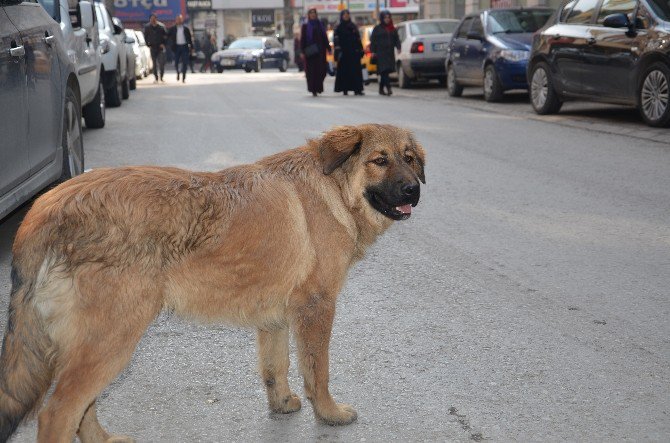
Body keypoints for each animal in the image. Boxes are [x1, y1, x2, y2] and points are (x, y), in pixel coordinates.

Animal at [0, 123, 426, 442]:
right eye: (379, 161)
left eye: (409, 159)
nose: (414, 190)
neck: (331, 189)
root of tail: (42, 210)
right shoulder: (316, 308)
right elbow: (316, 371)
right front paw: (329, 412)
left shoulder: (274, 317)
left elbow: (277, 365)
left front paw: (282, 402)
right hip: (113, 339)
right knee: (57, 412)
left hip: (97, 345)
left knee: (80, 408)